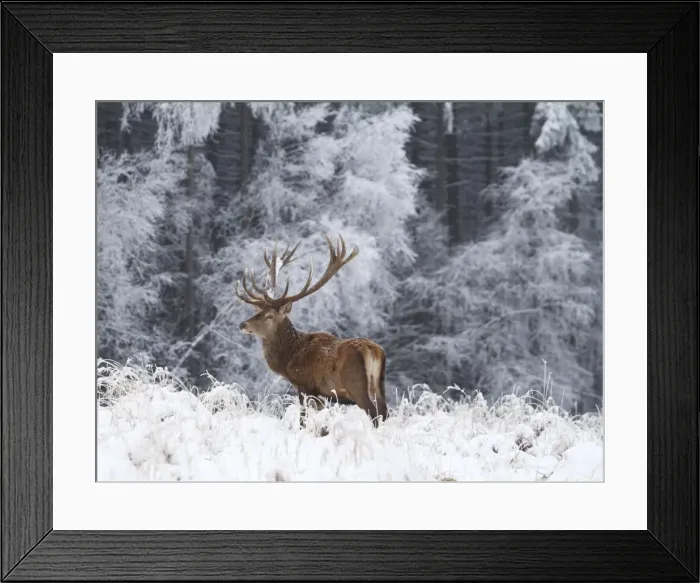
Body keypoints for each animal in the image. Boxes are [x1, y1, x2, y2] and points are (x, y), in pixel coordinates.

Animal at [235, 234, 388, 431]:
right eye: (257, 311)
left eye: (269, 315)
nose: (242, 324)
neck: (289, 358)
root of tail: (373, 350)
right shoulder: (321, 394)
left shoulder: (305, 385)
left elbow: (303, 420)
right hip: (380, 384)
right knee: (384, 411)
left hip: (356, 384)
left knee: (373, 413)